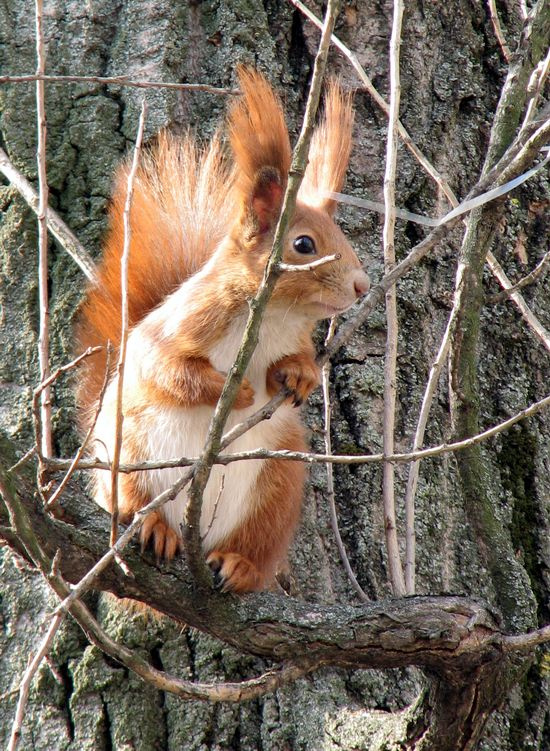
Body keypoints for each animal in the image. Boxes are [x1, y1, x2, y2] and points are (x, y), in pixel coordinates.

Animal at [76, 68, 370, 593]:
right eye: (304, 244)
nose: (362, 285)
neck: (274, 318)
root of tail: (197, 533)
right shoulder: (182, 324)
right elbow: (167, 369)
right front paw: (234, 394)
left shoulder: (295, 339)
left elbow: (297, 363)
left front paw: (298, 375)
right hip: (127, 452)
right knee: (128, 500)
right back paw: (154, 526)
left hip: (277, 483)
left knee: (254, 544)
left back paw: (239, 564)